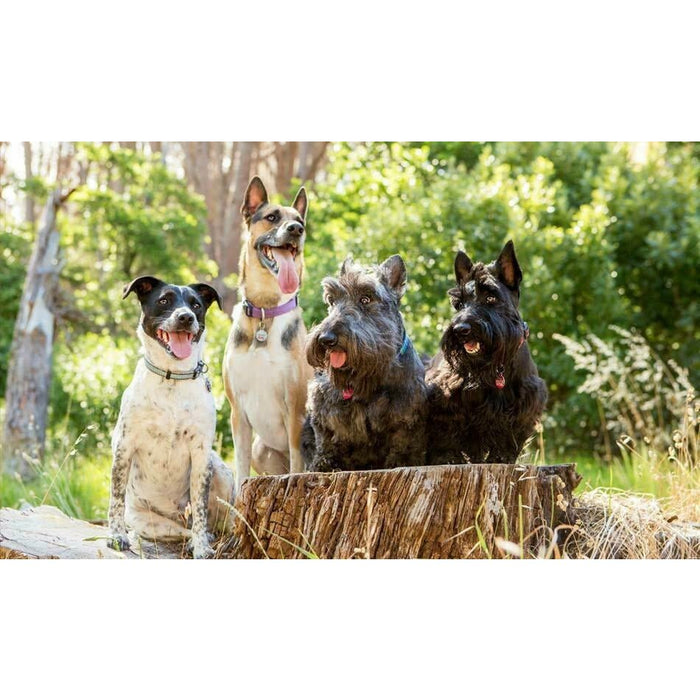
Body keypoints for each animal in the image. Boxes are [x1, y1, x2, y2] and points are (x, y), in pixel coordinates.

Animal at [108, 276, 237, 560]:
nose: (185, 317)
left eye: (196, 304)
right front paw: (116, 536)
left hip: (220, 470)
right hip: (150, 523)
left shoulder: (201, 455)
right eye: (164, 300)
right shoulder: (124, 447)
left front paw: (202, 548)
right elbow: (116, 497)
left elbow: (200, 508)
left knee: (220, 522)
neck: (172, 377)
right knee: (182, 530)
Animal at [223, 176, 314, 492]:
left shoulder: (296, 410)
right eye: (272, 217)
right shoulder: (237, 412)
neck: (266, 312)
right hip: (261, 449)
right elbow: (240, 471)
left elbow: (298, 464)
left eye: (300, 220)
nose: (296, 230)